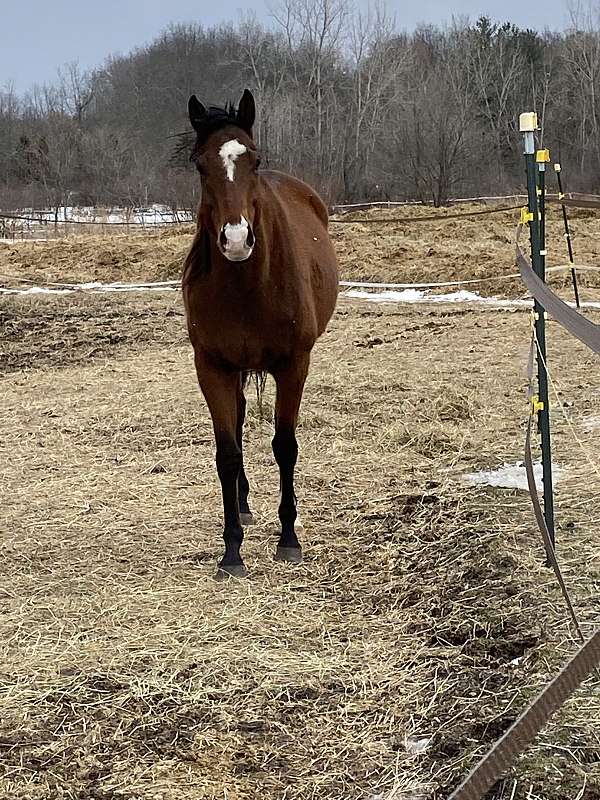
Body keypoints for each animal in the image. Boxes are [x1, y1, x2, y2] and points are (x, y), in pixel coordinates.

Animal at [182, 89, 339, 578]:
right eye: (200, 164)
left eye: (253, 159)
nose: (235, 240)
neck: (247, 286)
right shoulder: (212, 367)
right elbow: (227, 454)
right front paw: (232, 551)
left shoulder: (294, 365)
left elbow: (285, 446)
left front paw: (288, 538)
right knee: (238, 420)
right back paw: (244, 504)